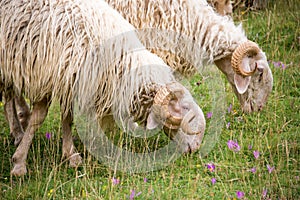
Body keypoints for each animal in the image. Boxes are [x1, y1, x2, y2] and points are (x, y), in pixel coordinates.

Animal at [0, 0, 206, 175]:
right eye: (184, 108)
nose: (196, 146)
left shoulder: (70, 81)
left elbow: (67, 117)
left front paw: (71, 155)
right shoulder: (50, 76)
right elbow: (39, 118)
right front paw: (19, 163)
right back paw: (18, 132)